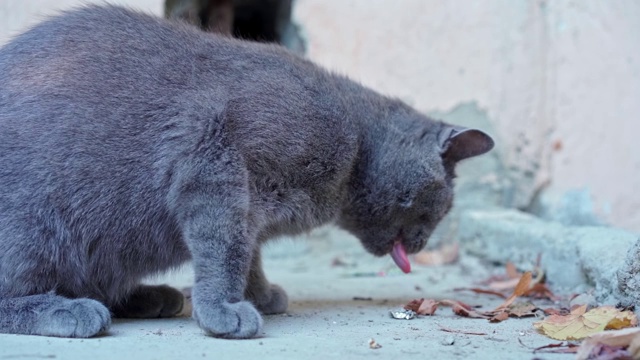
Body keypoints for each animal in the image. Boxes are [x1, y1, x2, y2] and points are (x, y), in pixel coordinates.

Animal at [0, 4, 492, 338]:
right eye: (440, 209)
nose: (423, 242)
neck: (356, 144)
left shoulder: (251, 208)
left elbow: (248, 253)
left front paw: (258, 295)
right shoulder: (213, 163)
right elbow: (224, 249)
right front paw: (223, 311)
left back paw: (148, 295)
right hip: (36, 228)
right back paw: (70, 310)